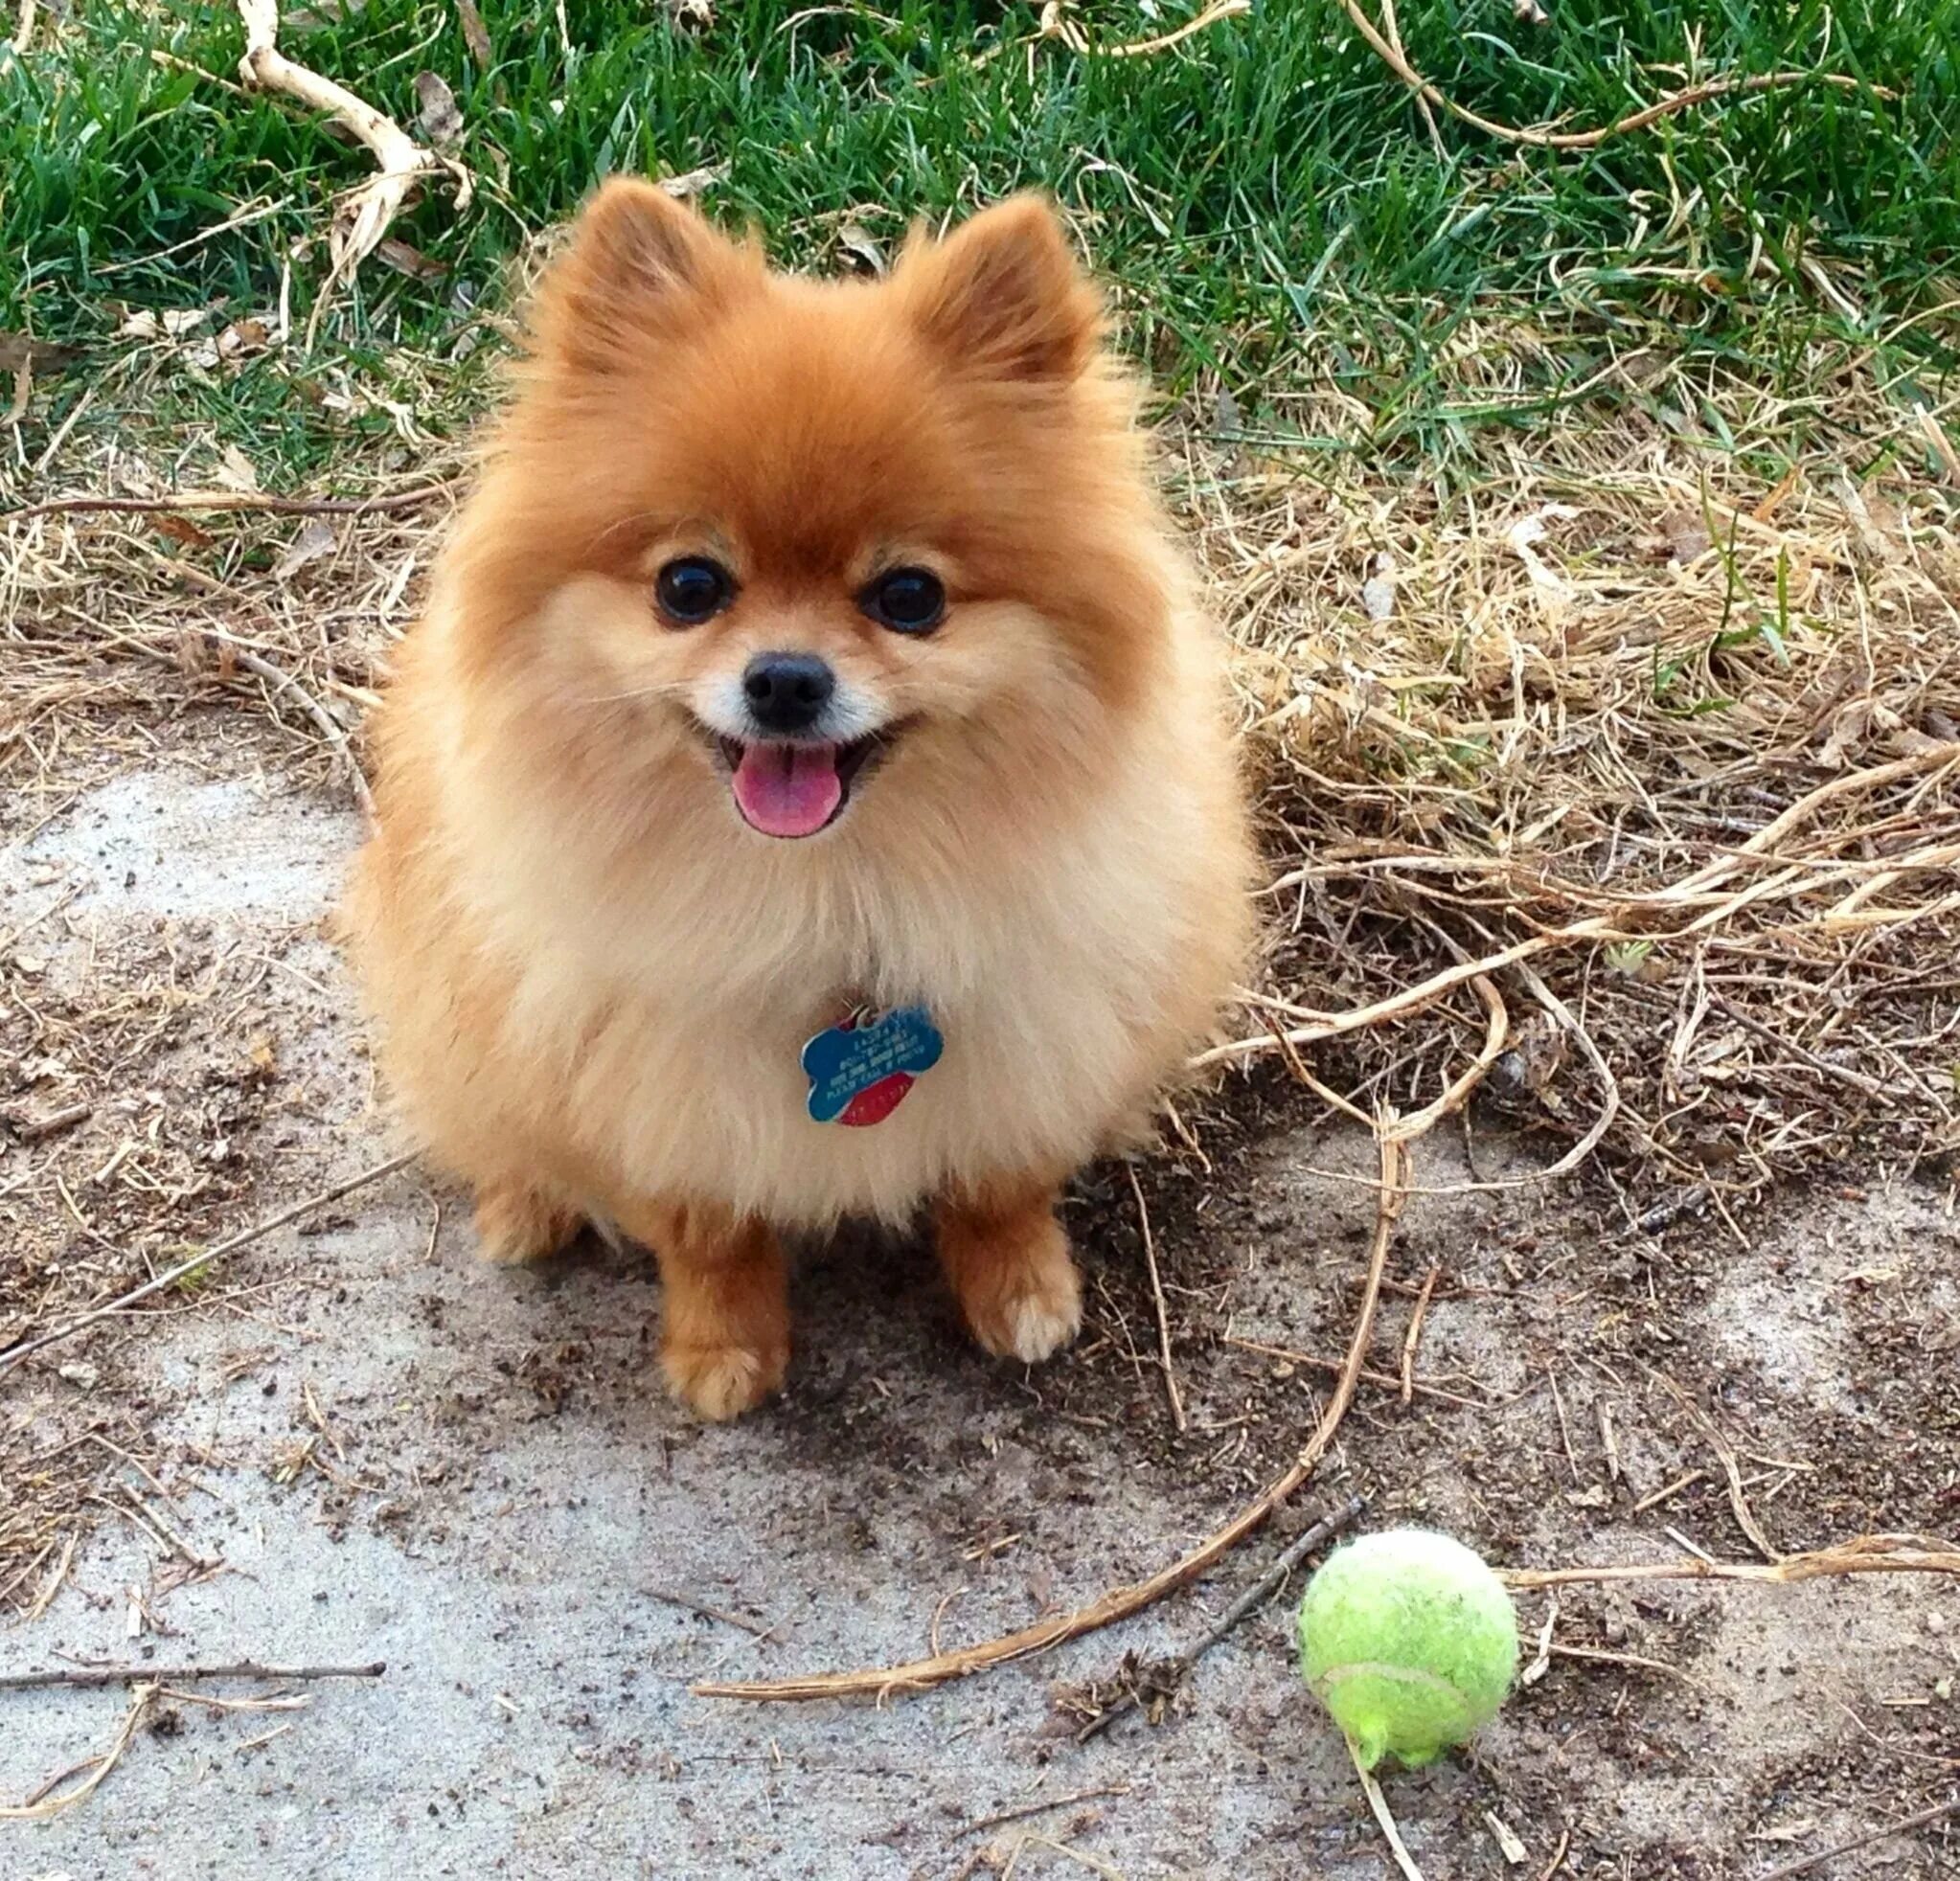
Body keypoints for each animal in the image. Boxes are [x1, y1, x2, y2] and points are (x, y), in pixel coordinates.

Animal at [343, 184, 1246, 1426]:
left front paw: (1023, 1286)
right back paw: (526, 1203)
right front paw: (723, 1346)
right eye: (689, 586)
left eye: (909, 597)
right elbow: (706, 1229)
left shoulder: (1037, 1029)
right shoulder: (656, 1084)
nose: (784, 678)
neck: (830, 893)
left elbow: (1000, 1179)